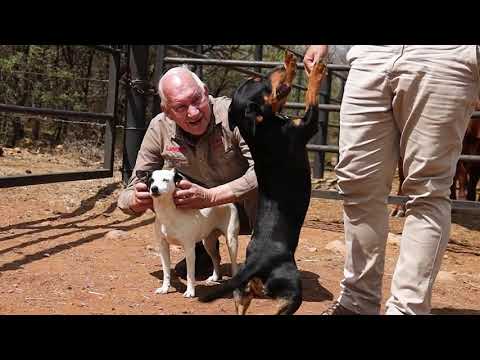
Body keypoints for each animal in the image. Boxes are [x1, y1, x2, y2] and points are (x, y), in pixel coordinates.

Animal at [142, 169, 240, 298]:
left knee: (234, 264)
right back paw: (214, 277)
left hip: (231, 241)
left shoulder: (189, 248)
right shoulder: (163, 247)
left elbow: (190, 274)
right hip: (208, 242)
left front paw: (190, 291)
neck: (168, 214)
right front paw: (165, 288)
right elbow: (166, 271)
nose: (154, 188)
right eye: (151, 181)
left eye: (165, 180)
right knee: (216, 258)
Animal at [198, 51, 326, 316]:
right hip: (292, 288)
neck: (263, 128)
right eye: (258, 81)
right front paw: (316, 70)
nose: (280, 64)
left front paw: (290, 63)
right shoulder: (307, 124)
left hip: (241, 293)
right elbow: (311, 93)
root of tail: (254, 265)